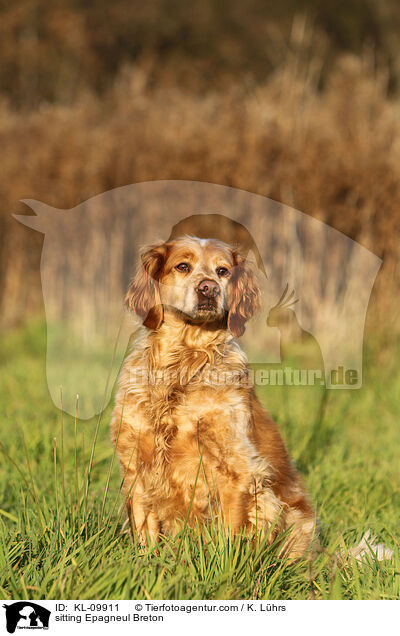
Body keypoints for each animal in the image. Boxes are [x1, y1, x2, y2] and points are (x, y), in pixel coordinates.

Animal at [111, 235, 318, 556]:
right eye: (183, 266)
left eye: (223, 271)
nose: (209, 288)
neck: (183, 363)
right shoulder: (136, 463)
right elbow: (145, 533)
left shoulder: (237, 468)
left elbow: (230, 536)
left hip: (275, 504)